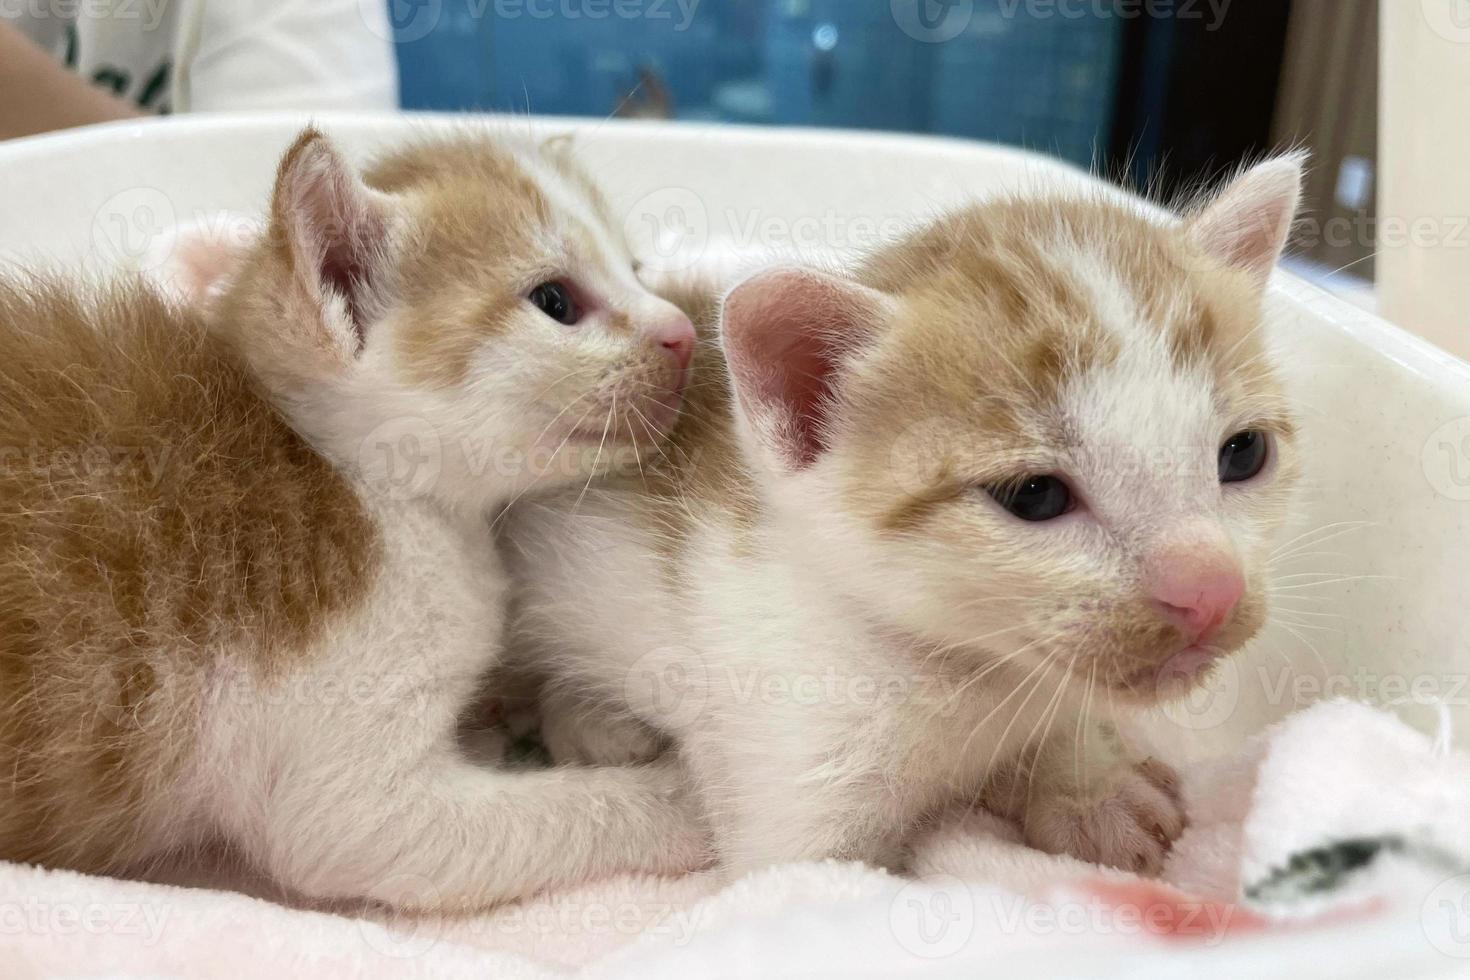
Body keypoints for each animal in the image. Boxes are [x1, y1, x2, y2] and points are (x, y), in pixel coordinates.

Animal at [0, 128, 708, 910]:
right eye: (555, 300)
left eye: (636, 269)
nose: (685, 332)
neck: (359, 479)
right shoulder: (348, 792)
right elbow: (553, 815)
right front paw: (685, 798)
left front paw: (545, 712)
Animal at [508, 157, 1311, 875]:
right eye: (1035, 496)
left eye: (1243, 453)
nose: (1211, 591)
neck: (963, 673)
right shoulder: (791, 774)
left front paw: (1088, 784)